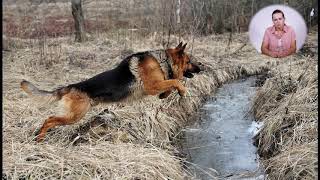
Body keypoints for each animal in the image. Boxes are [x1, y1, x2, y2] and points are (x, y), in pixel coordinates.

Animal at [20, 42, 200, 142]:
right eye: (189, 61)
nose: (202, 68)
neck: (163, 61)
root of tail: (71, 86)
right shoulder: (152, 86)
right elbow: (176, 81)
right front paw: (182, 91)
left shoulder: (157, 85)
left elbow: (171, 84)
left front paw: (166, 95)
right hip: (74, 116)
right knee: (49, 120)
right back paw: (39, 138)